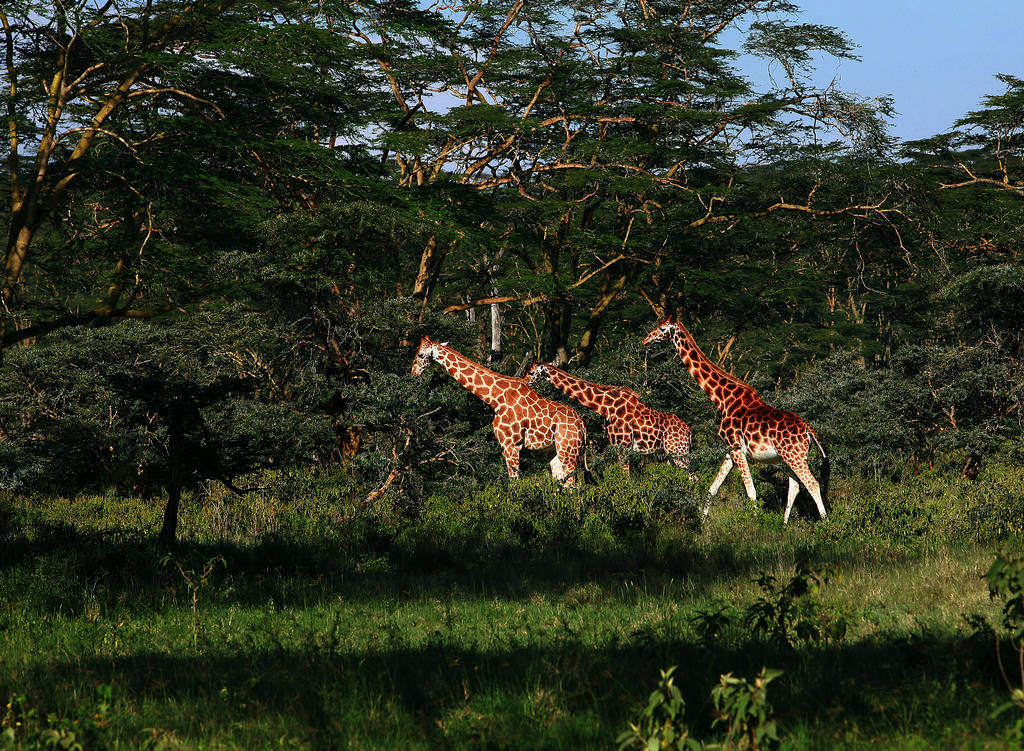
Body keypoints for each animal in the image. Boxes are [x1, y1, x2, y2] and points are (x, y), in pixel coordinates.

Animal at [411, 336, 589, 485]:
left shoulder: (510, 444)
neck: (495, 399)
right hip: (554, 451)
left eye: (420, 354)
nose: (413, 373)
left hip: (568, 450)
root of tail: (582, 426)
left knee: (572, 484)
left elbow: (514, 482)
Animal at [524, 356, 692, 475]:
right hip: (669, 454)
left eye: (531, 372)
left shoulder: (623, 446)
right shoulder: (619, 446)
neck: (605, 407)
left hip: (678, 452)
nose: (525, 382)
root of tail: (689, 433)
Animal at [643, 315, 827, 520]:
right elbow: (713, 487)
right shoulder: (730, 449)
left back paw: (826, 523)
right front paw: (702, 520)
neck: (723, 400)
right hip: (790, 457)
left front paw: (753, 521)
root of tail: (809, 431)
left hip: (794, 456)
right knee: (794, 488)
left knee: (813, 484)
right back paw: (785, 523)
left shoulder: (737, 447)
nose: (645, 340)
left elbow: (751, 490)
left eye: (662, 328)